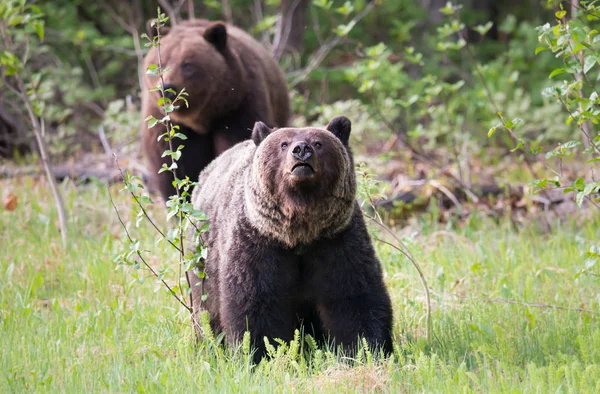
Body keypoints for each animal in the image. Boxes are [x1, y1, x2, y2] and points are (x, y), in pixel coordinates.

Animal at [141, 19, 290, 202]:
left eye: (187, 65)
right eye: (161, 63)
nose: (166, 89)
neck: (200, 118)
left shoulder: (237, 108)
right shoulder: (166, 123)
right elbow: (174, 165)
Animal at [189, 115, 394, 362]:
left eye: (318, 143)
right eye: (283, 144)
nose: (301, 150)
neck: (300, 234)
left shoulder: (337, 240)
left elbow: (355, 295)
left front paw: (367, 350)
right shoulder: (258, 243)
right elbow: (255, 304)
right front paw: (259, 354)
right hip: (203, 263)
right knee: (206, 307)